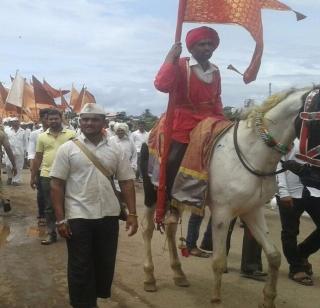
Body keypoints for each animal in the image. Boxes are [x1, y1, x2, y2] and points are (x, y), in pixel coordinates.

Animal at [141, 87, 310, 308]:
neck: (252, 154)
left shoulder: (252, 209)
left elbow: (273, 255)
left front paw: (268, 299)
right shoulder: (222, 213)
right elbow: (219, 261)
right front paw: (215, 299)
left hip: (176, 196)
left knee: (170, 229)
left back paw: (179, 274)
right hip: (152, 192)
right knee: (147, 229)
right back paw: (149, 277)